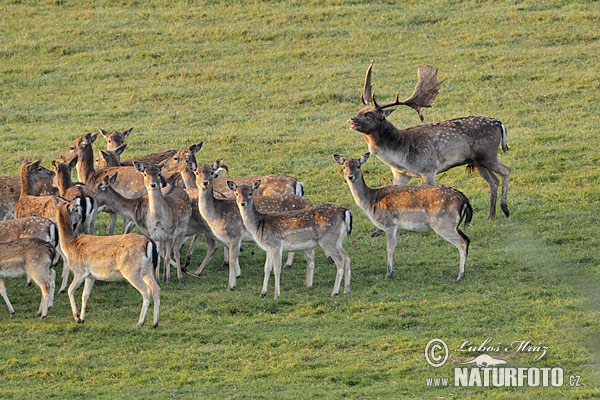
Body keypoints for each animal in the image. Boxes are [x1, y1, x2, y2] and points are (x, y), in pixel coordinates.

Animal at [336, 153, 472, 282]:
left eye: (358, 166)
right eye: (344, 167)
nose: (350, 177)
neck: (371, 201)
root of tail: (464, 199)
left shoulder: (389, 224)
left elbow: (389, 249)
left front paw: (388, 274)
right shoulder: (397, 228)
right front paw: (391, 272)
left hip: (443, 224)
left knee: (462, 243)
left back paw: (460, 276)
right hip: (454, 225)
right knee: (467, 239)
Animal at [346, 61, 510, 220]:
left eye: (369, 115)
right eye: (359, 111)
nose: (351, 119)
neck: (401, 154)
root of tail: (499, 124)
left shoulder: (429, 169)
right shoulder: (400, 174)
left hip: (488, 154)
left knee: (506, 170)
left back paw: (505, 209)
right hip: (477, 162)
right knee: (494, 181)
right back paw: (491, 215)